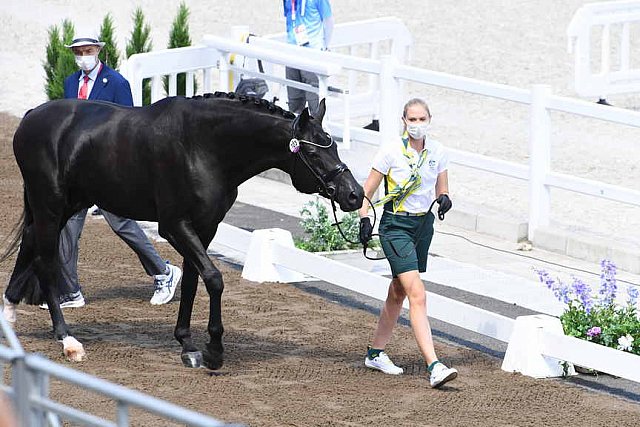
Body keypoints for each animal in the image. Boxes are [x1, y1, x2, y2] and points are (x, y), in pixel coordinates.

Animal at [0, 93, 362, 368]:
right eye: (313, 151)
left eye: (335, 148)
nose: (354, 194)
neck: (202, 146)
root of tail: (31, 116)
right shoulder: (174, 226)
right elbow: (213, 278)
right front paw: (214, 351)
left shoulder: (205, 227)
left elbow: (191, 282)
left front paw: (188, 345)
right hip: (50, 205)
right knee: (45, 261)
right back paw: (68, 340)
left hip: (66, 206)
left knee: (30, 245)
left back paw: (10, 316)